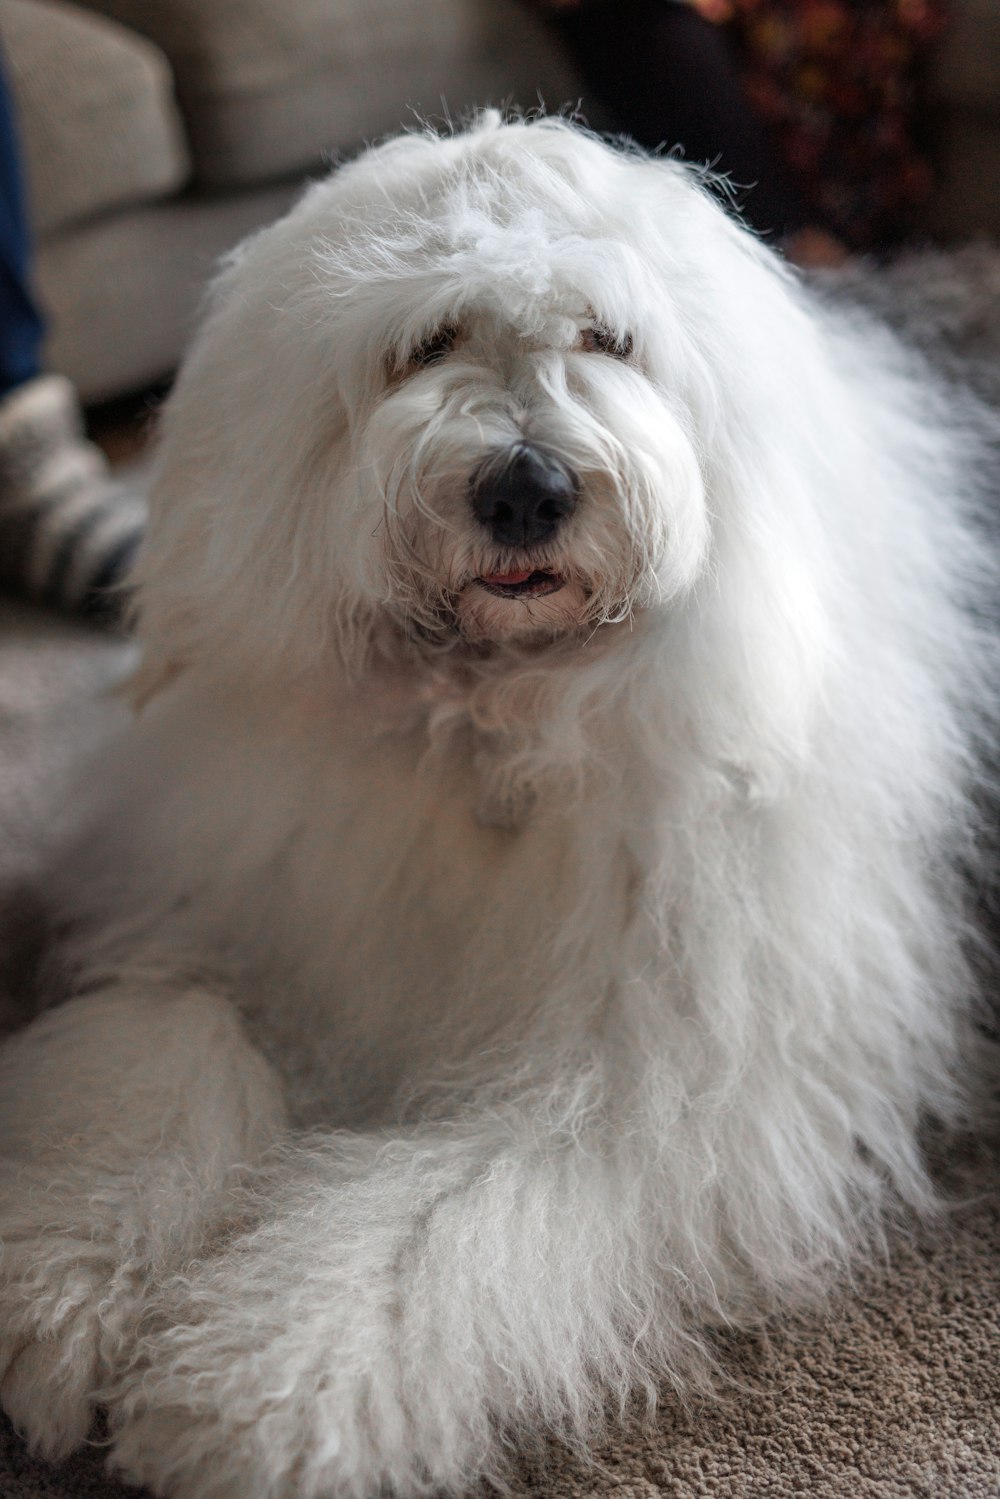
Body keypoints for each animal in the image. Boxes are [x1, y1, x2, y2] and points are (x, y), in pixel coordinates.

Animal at [1, 113, 1000, 1499]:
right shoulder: (227, 922)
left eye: (607, 337)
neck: (491, 730)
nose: (525, 488)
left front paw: (247, 1393)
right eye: (426, 341)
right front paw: (61, 1286)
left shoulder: (644, 1089)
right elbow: (161, 1051)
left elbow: (433, 1217)